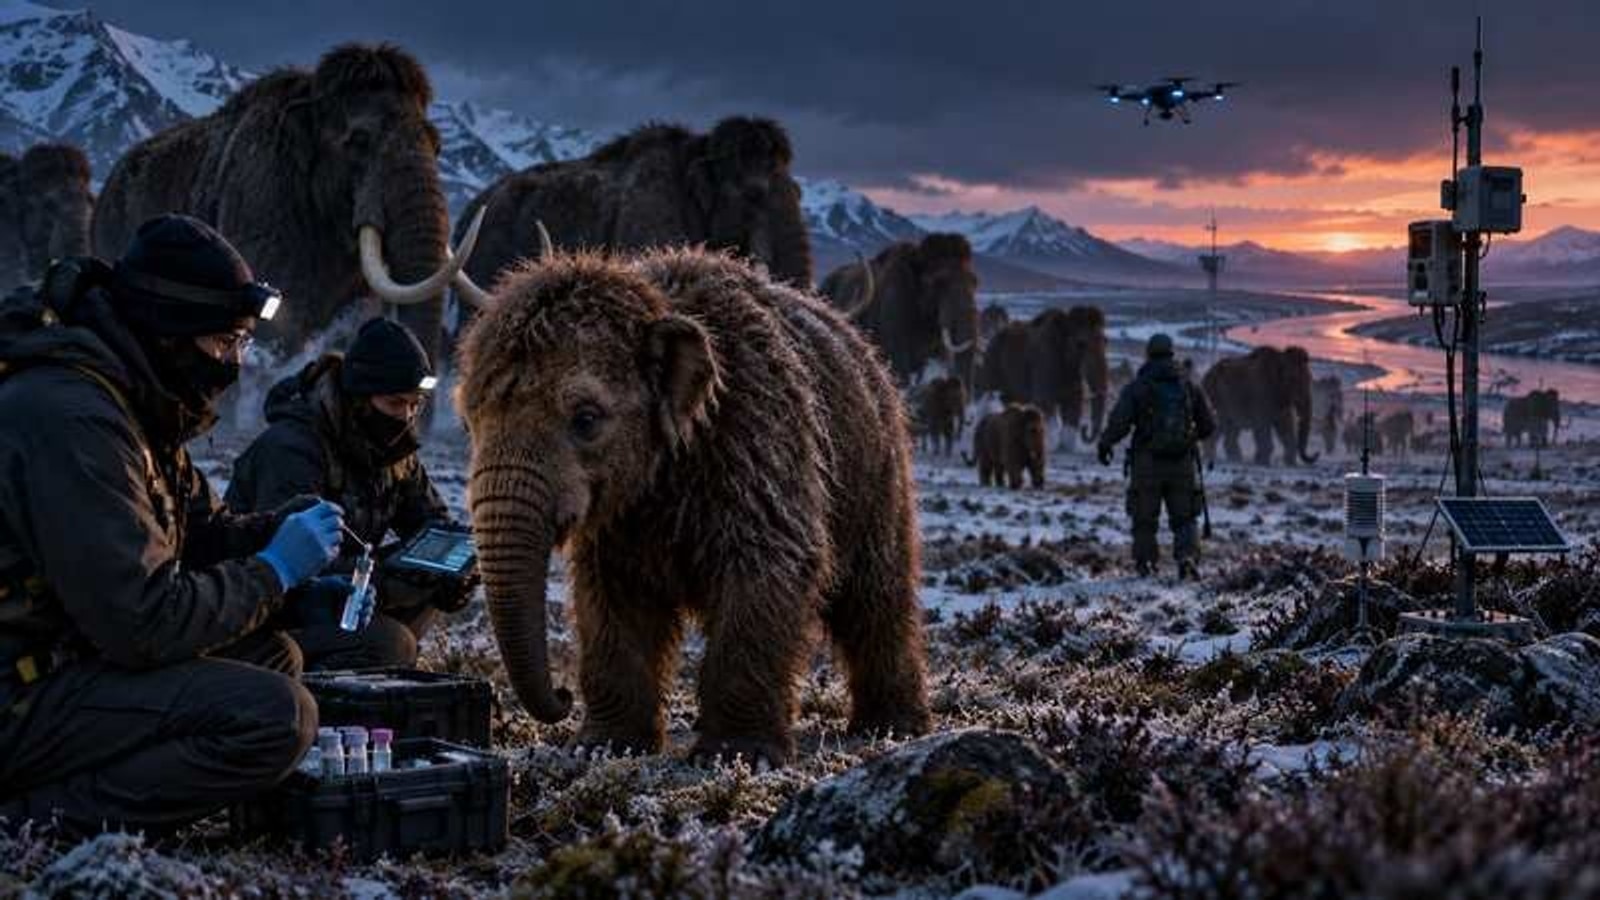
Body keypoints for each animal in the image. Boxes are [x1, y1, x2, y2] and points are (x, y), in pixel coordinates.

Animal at [453, 246, 930, 765]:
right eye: (468, 417)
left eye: (586, 419)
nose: (561, 697)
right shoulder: (620, 521)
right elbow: (611, 598)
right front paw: (605, 745)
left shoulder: (760, 452)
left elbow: (766, 576)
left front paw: (737, 753)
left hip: (876, 479)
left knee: (874, 599)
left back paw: (892, 726)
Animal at [975, 306, 1109, 447]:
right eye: (1081, 344)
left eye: (1106, 341)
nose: (1085, 429)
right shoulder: (1044, 364)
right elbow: (1046, 406)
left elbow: (1073, 410)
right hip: (990, 362)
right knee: (985, 395)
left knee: (1008, 400)